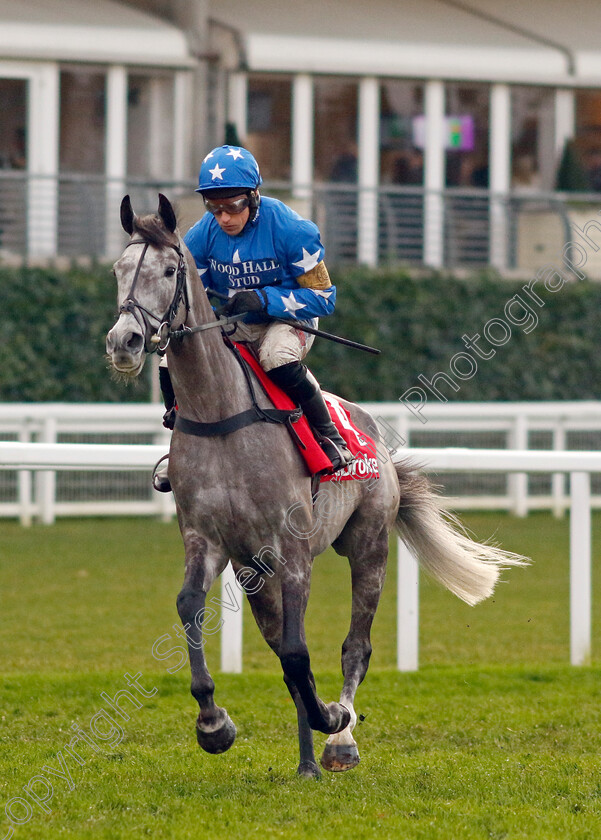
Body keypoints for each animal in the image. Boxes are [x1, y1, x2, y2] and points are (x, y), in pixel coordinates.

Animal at [106, 195, 524, 780]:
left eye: (169, 271)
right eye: (118, 271)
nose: (124, 341)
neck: (221, 415)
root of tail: (378, 441)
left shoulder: (293, 548)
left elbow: (301, 652)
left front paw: (331, 717)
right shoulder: (207, 540)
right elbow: (193, 607)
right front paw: (213, 723)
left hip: (369, 545)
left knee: (355, 646)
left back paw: (338, 739)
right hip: (254, 572)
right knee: (284, 645)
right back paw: (306, 758)